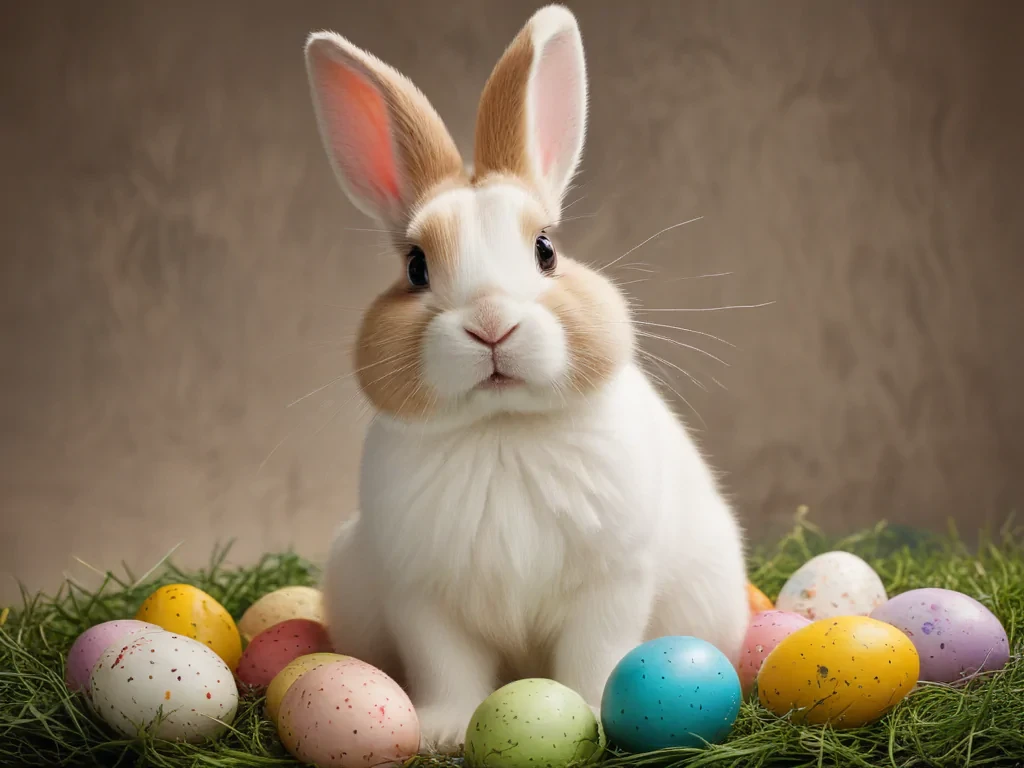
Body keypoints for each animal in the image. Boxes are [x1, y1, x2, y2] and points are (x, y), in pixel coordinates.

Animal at [305, 4, 749, 753]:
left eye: (546, 250)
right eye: (416, 267)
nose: (491, 323)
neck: (502, 428)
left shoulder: (610, 588)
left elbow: (594, 659)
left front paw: (591, 716)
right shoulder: (424, 602)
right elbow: (448, 670)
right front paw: (442, 732)